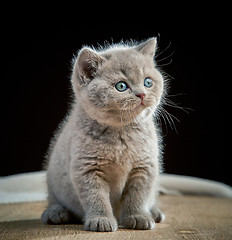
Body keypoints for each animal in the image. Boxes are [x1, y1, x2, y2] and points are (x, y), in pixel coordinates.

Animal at [41, 38, 165, 232]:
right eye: (121, 86)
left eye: (147, 82)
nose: (142, 94)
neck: (121, 133)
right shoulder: (87, 168)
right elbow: (95, 197)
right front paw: (101, 220)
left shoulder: (145, 166)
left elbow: (138, 195)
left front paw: (138, 216)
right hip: (53, 177)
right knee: (53, 199)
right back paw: (56, 213)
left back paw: (153, 212)